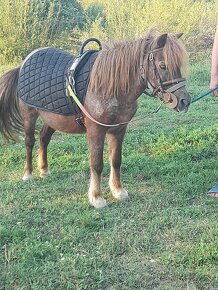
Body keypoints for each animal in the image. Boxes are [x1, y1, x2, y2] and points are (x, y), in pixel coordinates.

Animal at [0, 27, 191, 208]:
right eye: (163, 65)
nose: (184, 101)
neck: (109, 87)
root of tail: (23, 64)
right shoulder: (96, 130)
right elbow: (97, 164)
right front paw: (97, 198)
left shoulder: (119, 129)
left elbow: (116, 160)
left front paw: (118, 191)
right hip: (29, 115)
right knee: (29, 142)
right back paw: (28, 174)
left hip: (52, 118)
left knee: (44, 138)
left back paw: (44, 170)